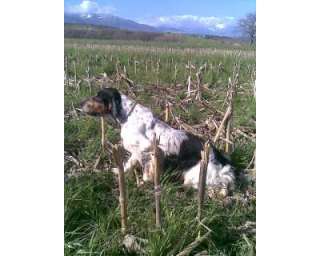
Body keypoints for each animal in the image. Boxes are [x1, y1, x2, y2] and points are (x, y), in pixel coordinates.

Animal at [80, 87, 235, 197]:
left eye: (97, 96)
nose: (80, 103)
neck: (127, 116)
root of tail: (219, 157)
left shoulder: (148, 148)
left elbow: (147, 173)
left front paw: (143, 184)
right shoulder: (136, 152)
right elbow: (128, 164)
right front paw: (119, 172)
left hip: (196, 175)